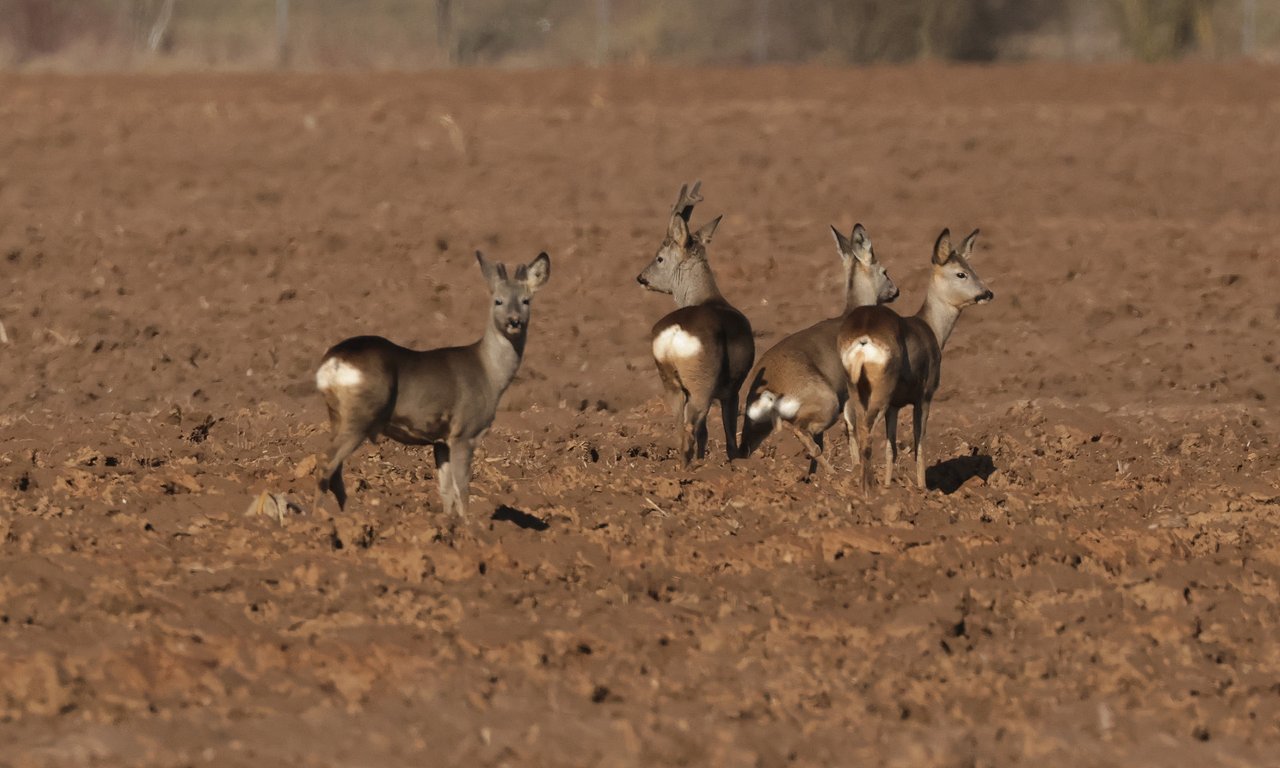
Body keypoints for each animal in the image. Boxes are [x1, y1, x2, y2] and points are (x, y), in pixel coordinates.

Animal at [312, 251, 551, 518]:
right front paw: (470, 525)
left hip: (337, 415)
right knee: (325, 461)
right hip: (361, 414)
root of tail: (333, 360)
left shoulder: (440, 441)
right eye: (498, 301)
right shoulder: (464, 432)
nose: (514, 321)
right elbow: (462, 488)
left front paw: (448, 523)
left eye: (526, 301)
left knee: (335, 470)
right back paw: (317, 519)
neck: (490, 373)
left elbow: (446, 491)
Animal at [637, 181, 754, 465]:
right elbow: (729, 433)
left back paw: (685, 467)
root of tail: (675, 334)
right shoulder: (732, 389)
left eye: (659, 257)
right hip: (702, 381)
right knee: (694, 425)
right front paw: (735, 462)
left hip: (671, 381)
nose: (641, 278)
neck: (709, 297)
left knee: (682, 425)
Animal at [740, 223, 899, 474]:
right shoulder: (849, 395)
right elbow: (852, 429)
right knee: (800, 431)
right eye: (884, 271)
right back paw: (832, 475)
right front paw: (856, 468)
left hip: (756, 428)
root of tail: (771, 386)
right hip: (828, 404)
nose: (896, 291)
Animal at [838, 228, 992, 494]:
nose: (987, 293)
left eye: (972, 268)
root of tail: (863, 339)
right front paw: (923, 489)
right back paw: (869, 491)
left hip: (855, 387)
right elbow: (919, 444)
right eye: (961, 273)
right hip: (881, 388)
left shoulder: (895, 405)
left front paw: (890, 484)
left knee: (857, 427)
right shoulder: (925, 394)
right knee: (866, 431)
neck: (932, 329)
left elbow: (892, 448)